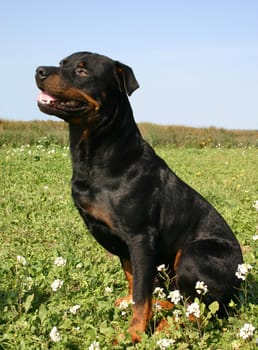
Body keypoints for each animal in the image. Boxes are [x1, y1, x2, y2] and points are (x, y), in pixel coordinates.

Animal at [35, 52, 243, 342]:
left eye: (82, 71)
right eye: (61, 63)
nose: (39, 71)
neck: (95, 155)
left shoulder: (141, 237)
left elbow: (143, 294)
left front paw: (133, 333)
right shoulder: (127, 245)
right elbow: (135, 281)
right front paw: (135, 310)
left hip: (194, 254)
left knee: (201, 310)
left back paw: (169, 326)